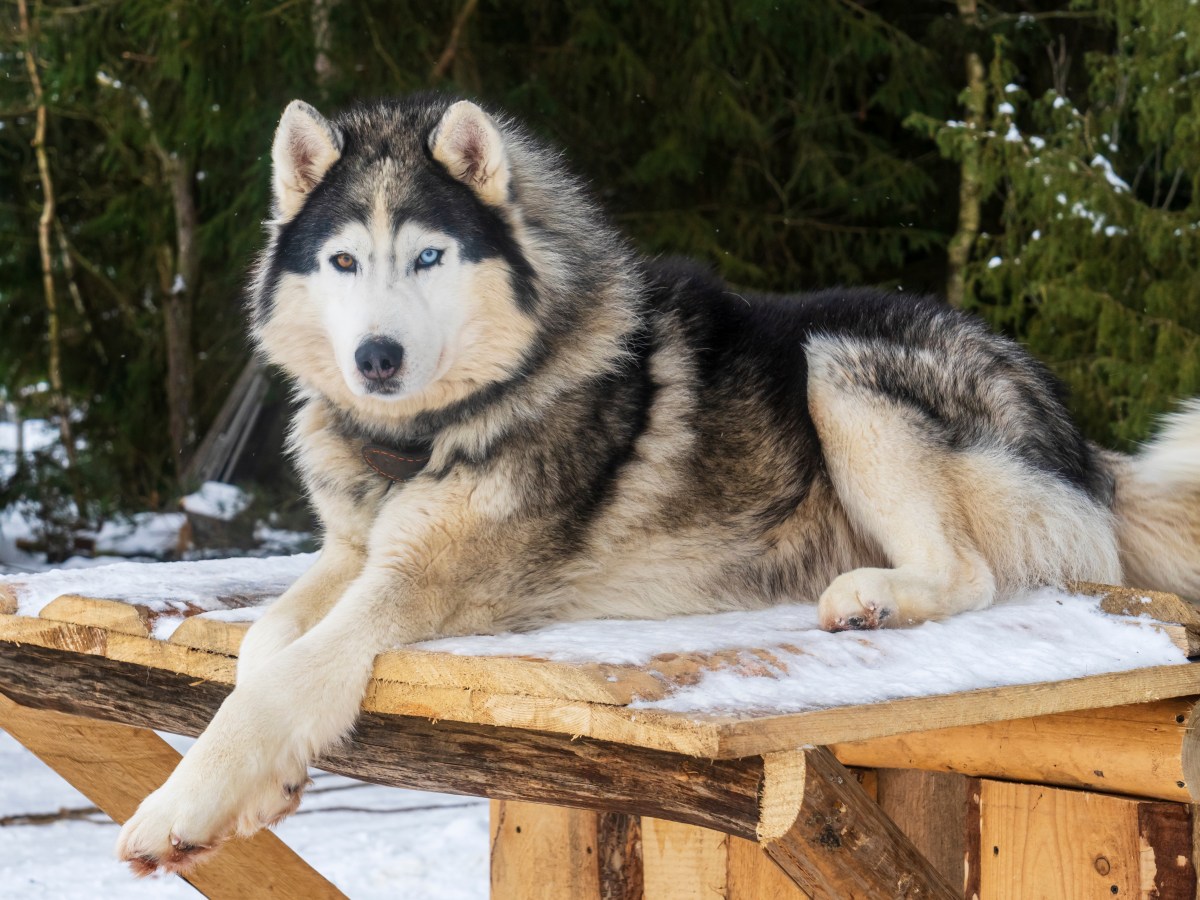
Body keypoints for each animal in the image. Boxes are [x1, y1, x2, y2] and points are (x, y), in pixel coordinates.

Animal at [117, 93, 1200, 873]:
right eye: (344, 260)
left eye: (428, 254)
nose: (376, 358)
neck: (424, 437)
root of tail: (1079, 442)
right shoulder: (352, 552)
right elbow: (262, 645)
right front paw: (260, 788)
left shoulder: (422, 582)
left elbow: (285, 677)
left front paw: (178, 808)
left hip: (838, 362)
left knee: (970, 572)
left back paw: (873, 598)